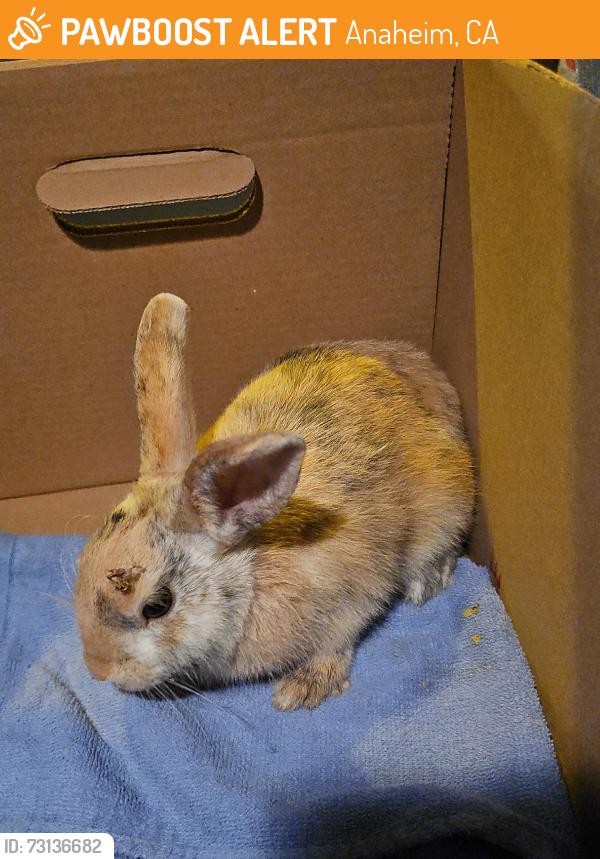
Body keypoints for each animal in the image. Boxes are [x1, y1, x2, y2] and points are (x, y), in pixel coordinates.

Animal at [75, 293, 475, 710]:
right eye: (80, 564)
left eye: (157, 606)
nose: (98, 669)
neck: (251, 568)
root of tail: (432, 374)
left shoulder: (351, 598)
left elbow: (336, 642)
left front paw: (302, 689)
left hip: (446, 508)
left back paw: (426, 583)